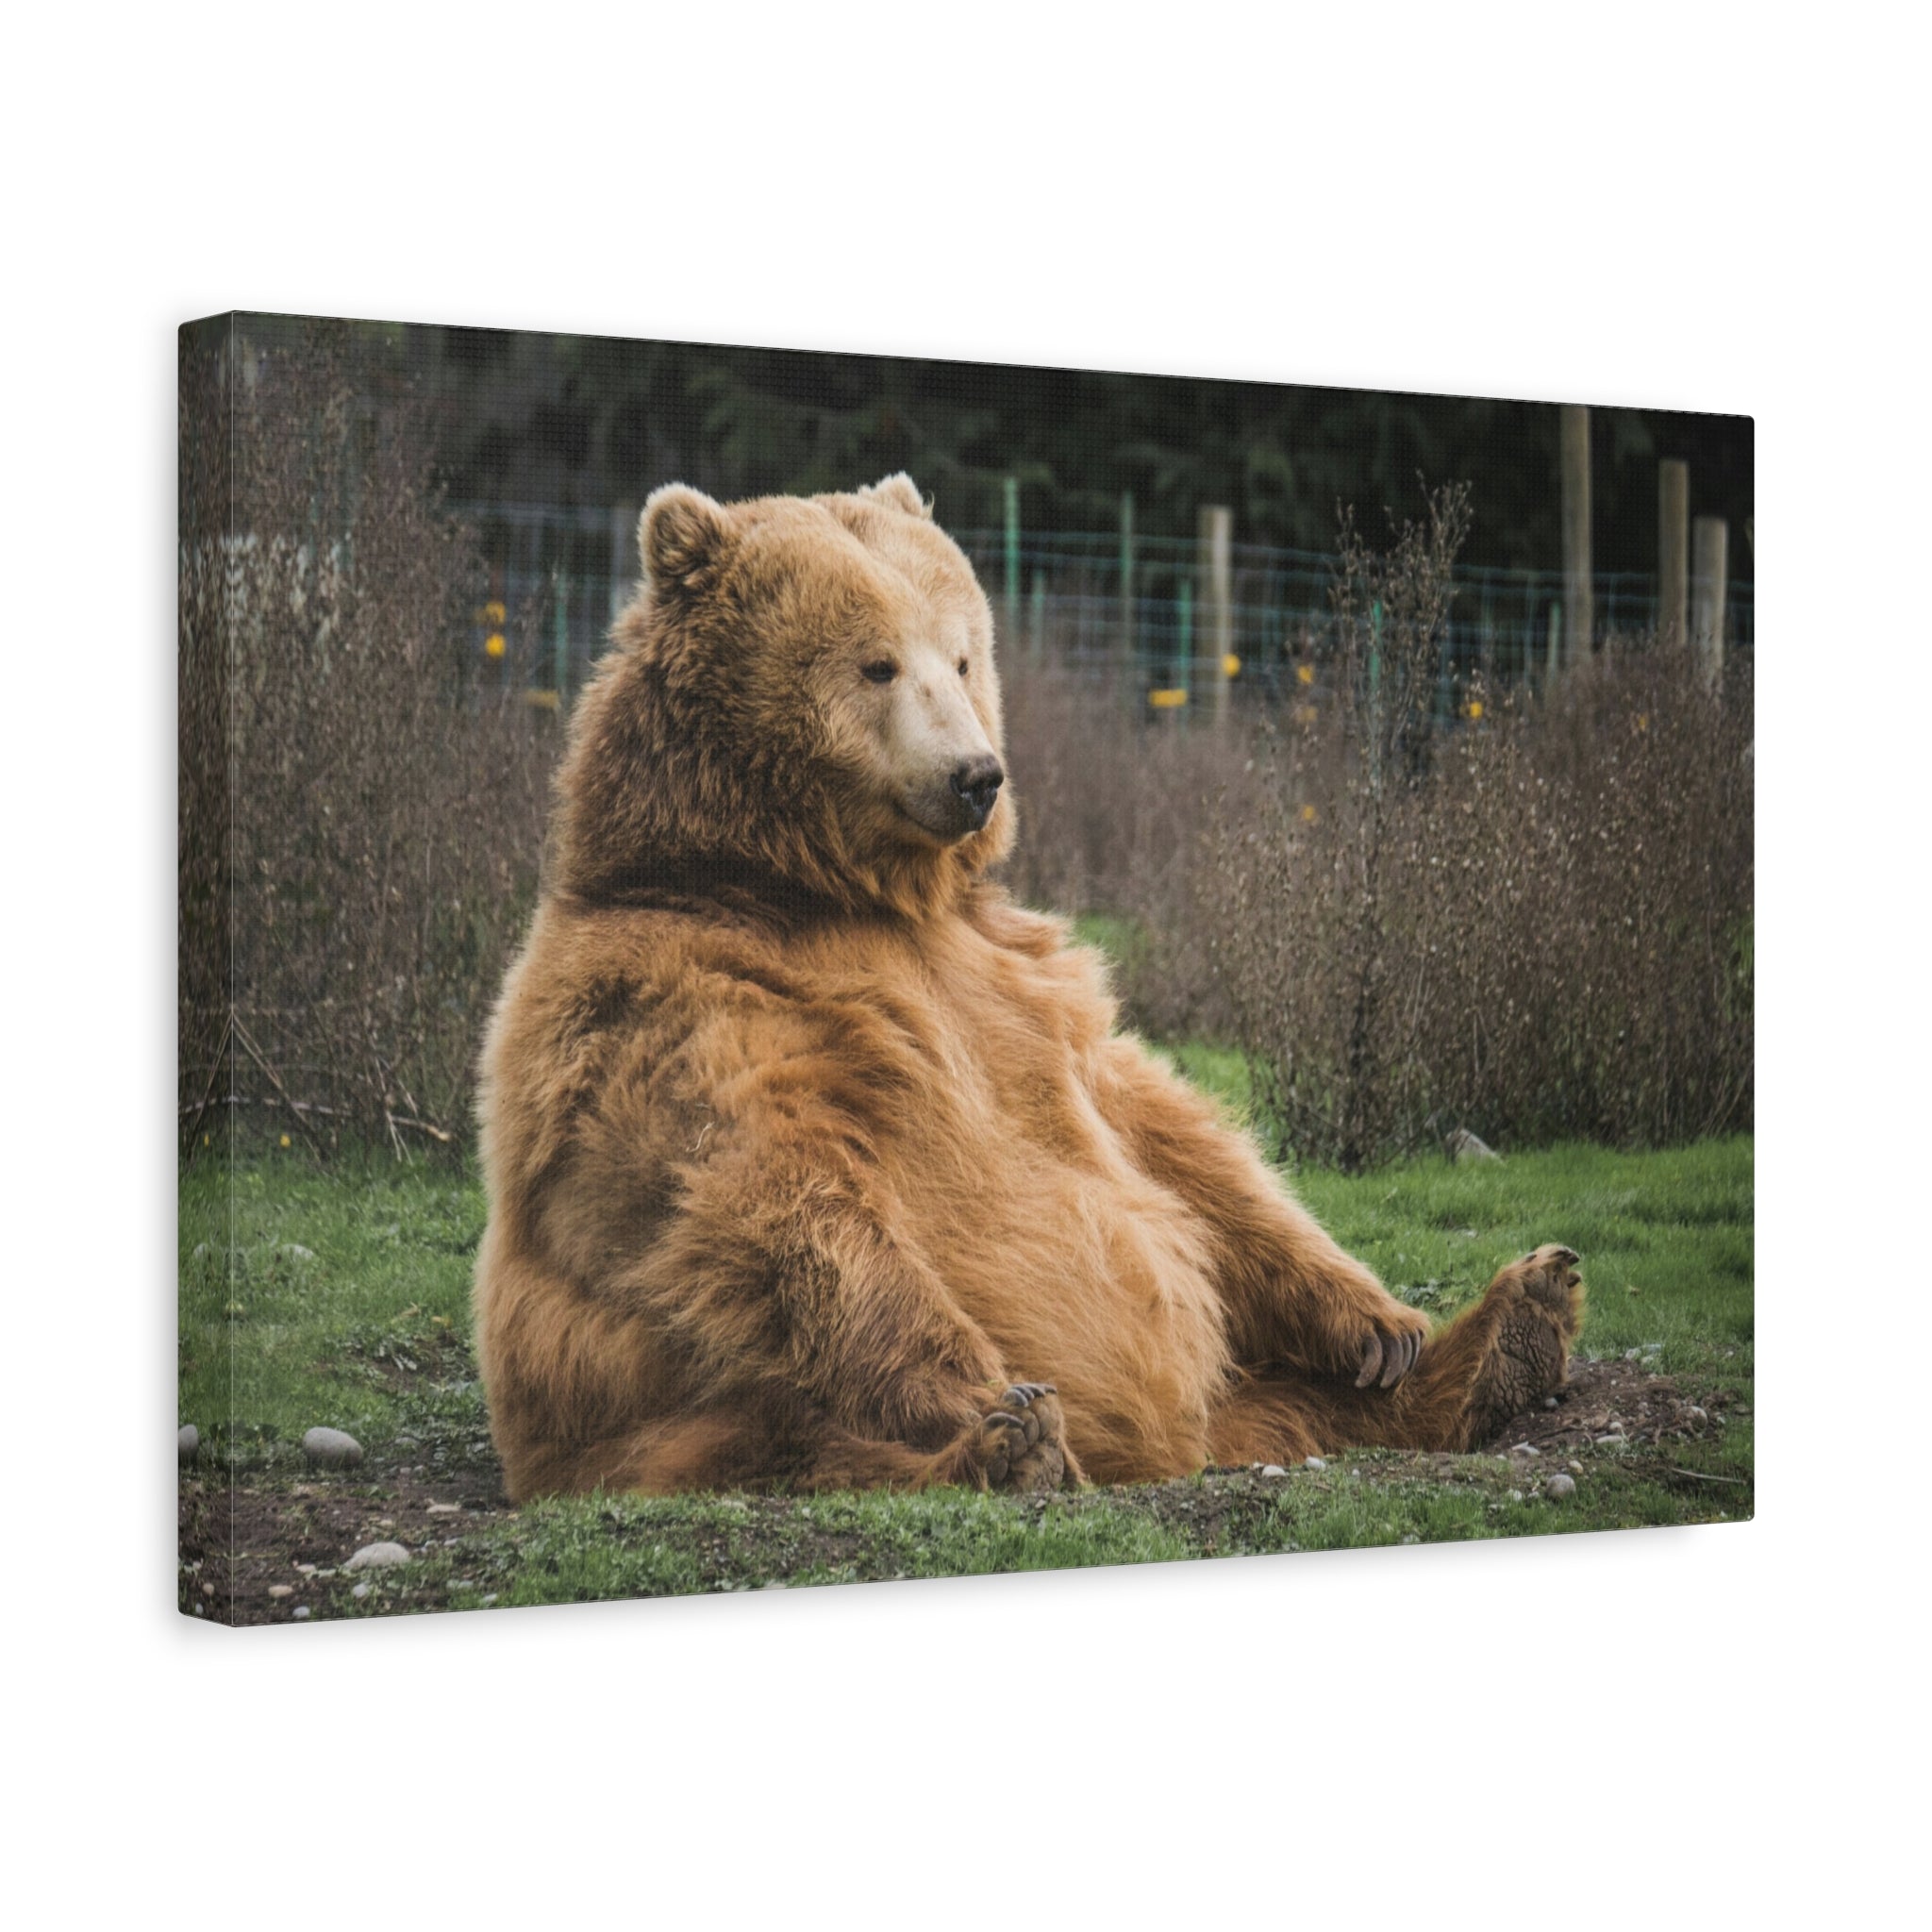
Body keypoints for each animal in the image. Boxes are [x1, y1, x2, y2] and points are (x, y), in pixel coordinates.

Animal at [472, 473, 1584, 1501]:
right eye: (876, 662)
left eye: (962, 653)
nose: (976, 774)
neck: (816, 886)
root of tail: (1172, 1449)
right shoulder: (680, 1000)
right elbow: (778, 1196)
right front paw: (990, 1398)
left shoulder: (1017, 977)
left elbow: (1167, 1134)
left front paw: (1378, 1321)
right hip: (660, 1419)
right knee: (795, 1443)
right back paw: (1010, 1449)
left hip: (1241, 1390)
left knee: (1302, 1400)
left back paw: (1509, 1328)